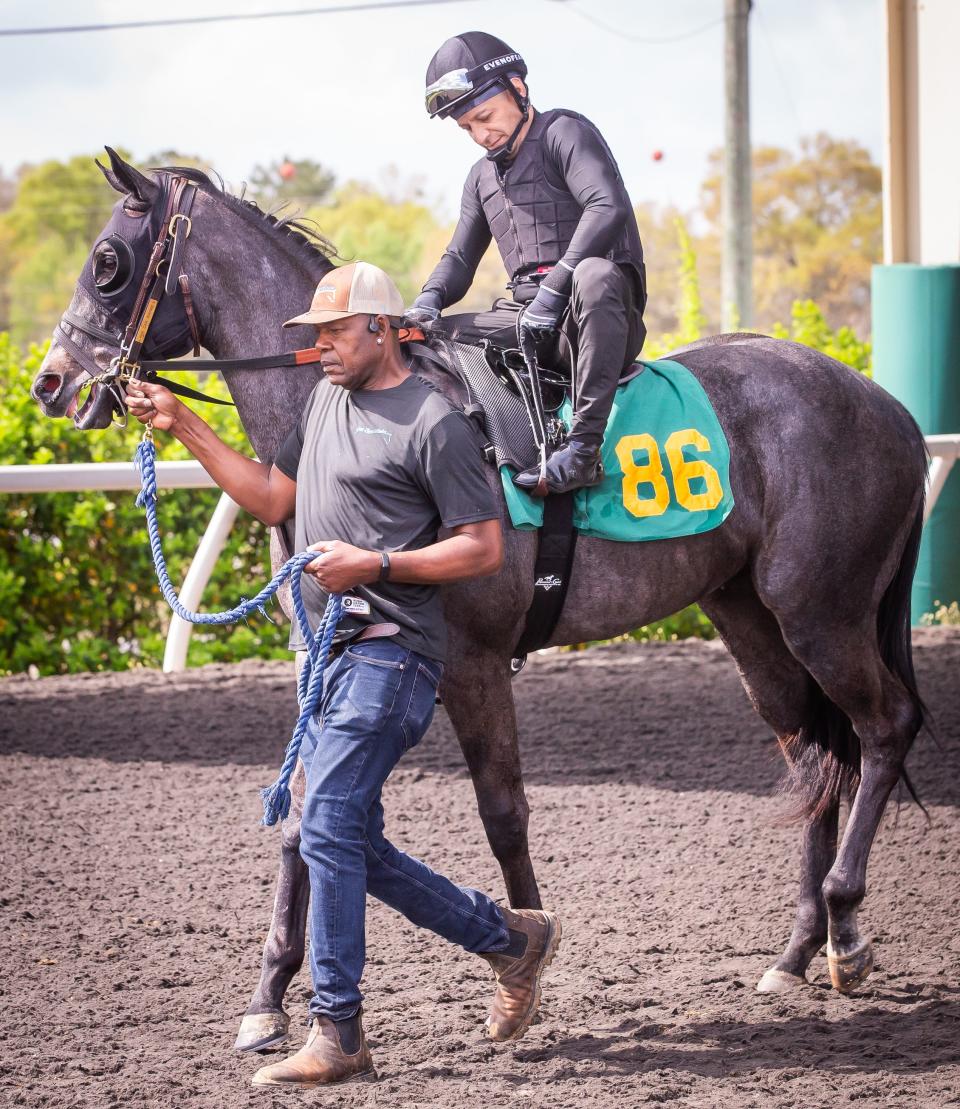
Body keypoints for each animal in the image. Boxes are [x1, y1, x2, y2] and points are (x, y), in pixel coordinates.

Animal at [33, 154, 922, 1046]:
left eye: (107, 262)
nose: (50, 382)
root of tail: (891, 409)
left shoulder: (475, 662)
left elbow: (503, 813)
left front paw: (523, 964)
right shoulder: (320, 657)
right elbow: (301, 819)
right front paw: (268, 997)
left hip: (822, 614)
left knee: (885, 727)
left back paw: (845, 927)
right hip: (749, 619)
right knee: (813, 757)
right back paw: (799, 949)